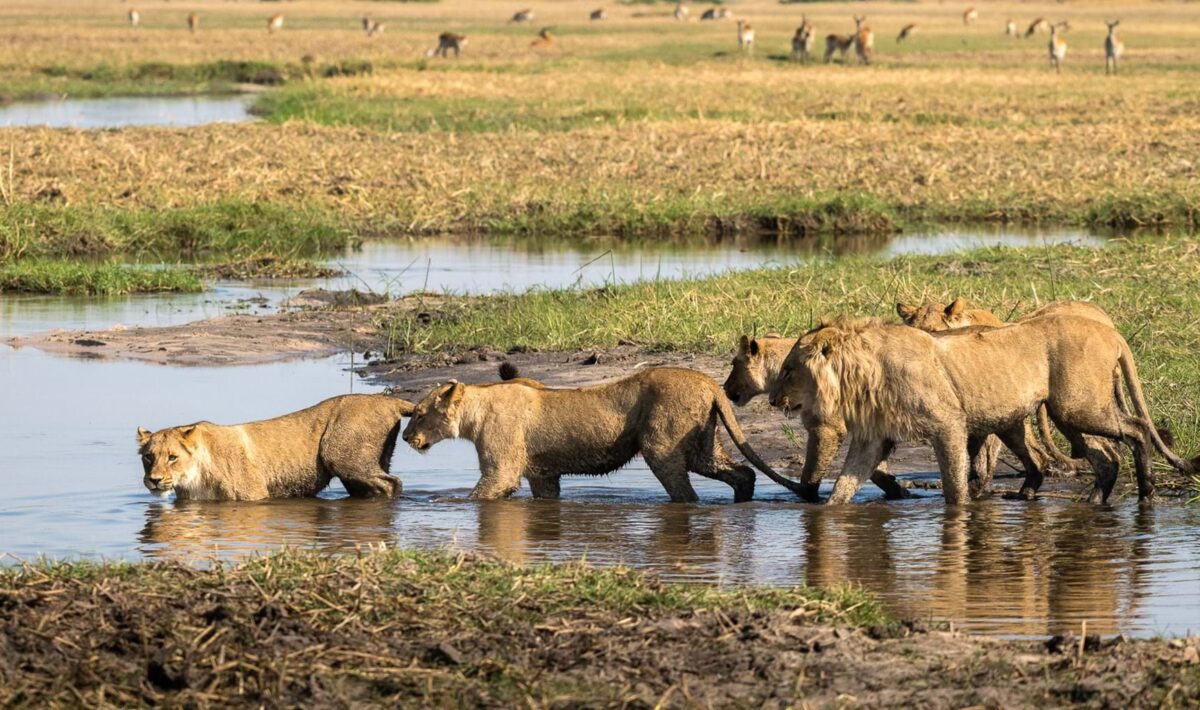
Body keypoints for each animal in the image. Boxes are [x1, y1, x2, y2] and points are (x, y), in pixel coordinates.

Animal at [136, 393, 412, 503]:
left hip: (340, 456)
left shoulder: (256, 496)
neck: (193, 478)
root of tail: (386, 399)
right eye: (148, 457)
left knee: (393, 483)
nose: (155, 480)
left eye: (172, 457)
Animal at [400, 369, 806, 501]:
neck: (477, 408)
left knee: (685, 492)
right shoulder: (542, 474)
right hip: (703, 447)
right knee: (742, 472)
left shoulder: (502, 467)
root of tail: (708, 381)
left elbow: (481, 492)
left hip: (663, 444)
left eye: (418, 414)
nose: (405, 439)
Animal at [768, 316, 1190, 503]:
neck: (861, 373)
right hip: (1067, 412)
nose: (773, 400)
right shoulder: (873, 437)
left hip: (1080, 406)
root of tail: (1110, 330)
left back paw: (1147, 492)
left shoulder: (948, 423)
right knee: (1106, 456)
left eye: (788, 370)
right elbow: (845, 484)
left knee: (1137, 428)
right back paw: (1094, 501)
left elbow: (956, 484)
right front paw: (824, 515)